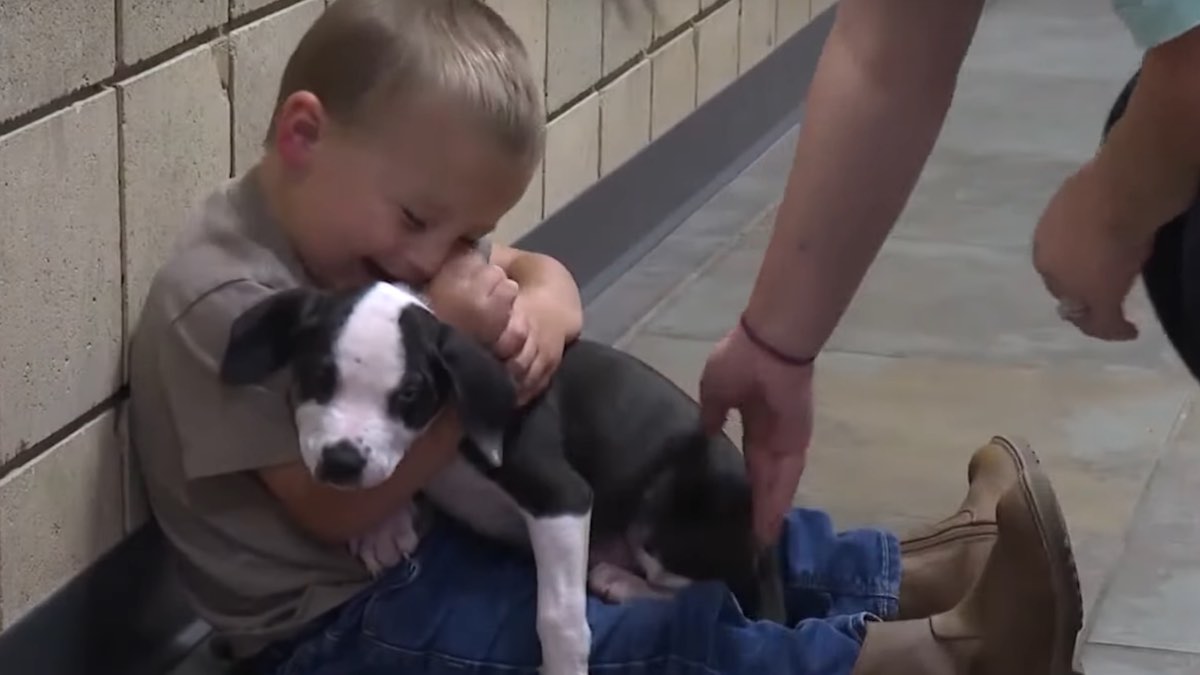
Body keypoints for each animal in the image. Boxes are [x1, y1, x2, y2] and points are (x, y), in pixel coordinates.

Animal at [220, 278, 787, 672]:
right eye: (316, 374)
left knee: (717, 595)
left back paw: (622, 581)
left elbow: (558, 616)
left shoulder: (562, 496)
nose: (341, 462)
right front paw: (383, 525)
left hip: (666, 512)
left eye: (410, 393)